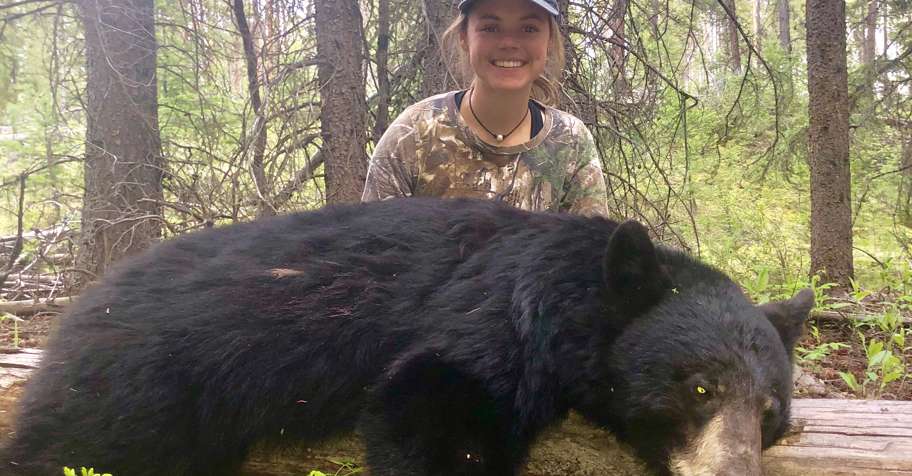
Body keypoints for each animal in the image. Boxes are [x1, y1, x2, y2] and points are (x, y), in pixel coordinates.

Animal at [2, 197, 813, 476]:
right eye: (700, 386)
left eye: (770, 413)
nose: (734, 472)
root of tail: (83, 301)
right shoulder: (489, 324)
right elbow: (430, 404)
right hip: (146, 385)